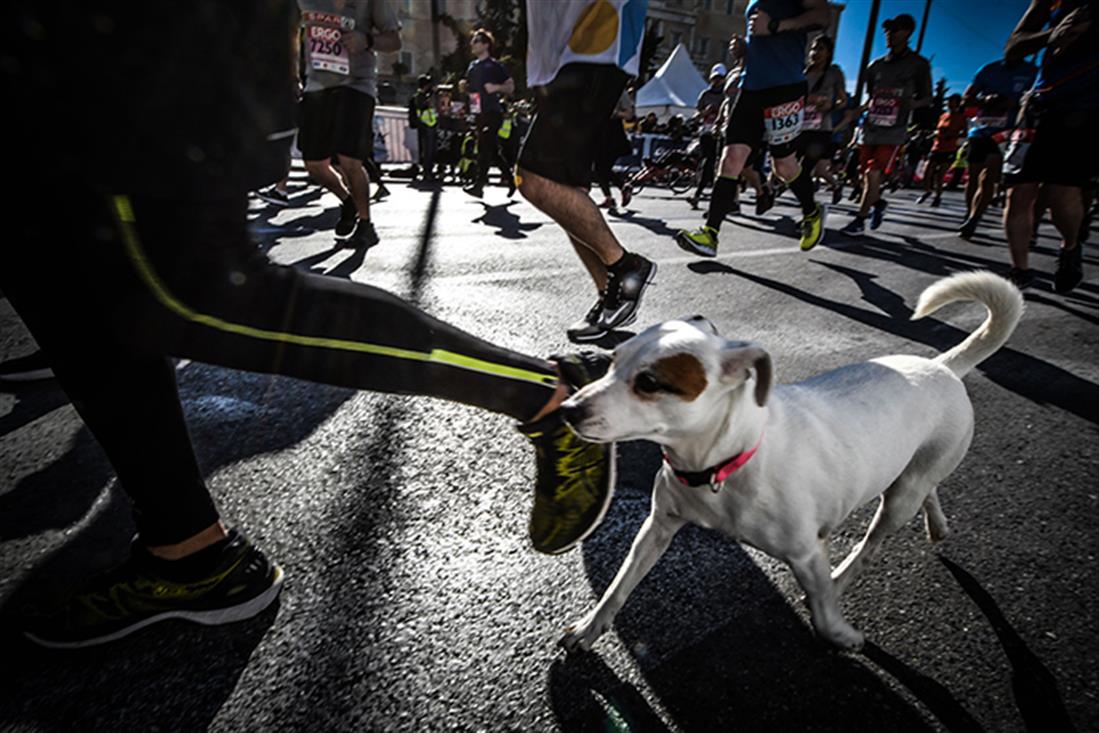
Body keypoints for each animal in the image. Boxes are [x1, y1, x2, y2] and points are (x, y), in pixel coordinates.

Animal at [562, 272, 1024, 650]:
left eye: (649, 382)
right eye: (612, 361)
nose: (567, 409)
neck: (723, 463)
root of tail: (943, 365)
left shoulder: (806, 553)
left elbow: (821, 607)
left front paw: (840, 634)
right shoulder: (657, 527)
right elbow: (620, 584)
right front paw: (589, 629)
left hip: (898, 499)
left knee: (872, 542)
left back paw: (844, 577)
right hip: (915, 473)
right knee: (928, 487)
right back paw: (938, 524)